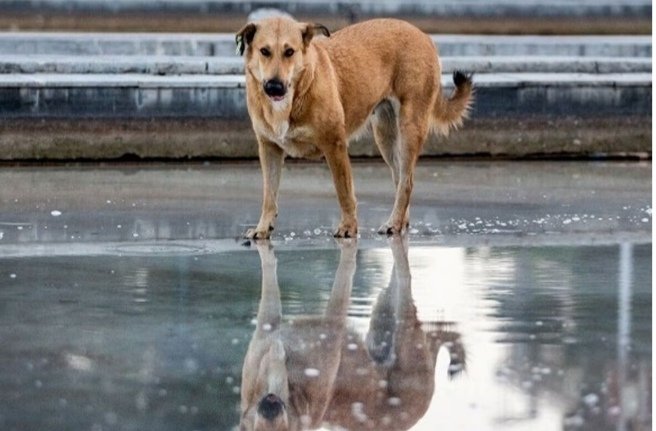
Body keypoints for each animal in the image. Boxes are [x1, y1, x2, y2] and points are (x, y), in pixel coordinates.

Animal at [236, 16, 472, 240]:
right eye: (264, 51)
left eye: (289, 52)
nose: (274, 87)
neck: (296, 92)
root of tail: (423, 35)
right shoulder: (269, 149)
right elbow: (269, 195)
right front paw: (263, 228)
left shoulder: (335, 146)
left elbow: (344, 192)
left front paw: (349, 227)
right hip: (385, 136)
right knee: (400, 179)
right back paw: (399, 223)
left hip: (409, 128)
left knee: (407, 182)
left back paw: (394, 223)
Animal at [238, 238, 464, 430]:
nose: (271, 407)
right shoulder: (268, 324)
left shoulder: (333, 325)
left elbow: (345, 268)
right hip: (386, 313)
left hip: (404, 324)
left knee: (407, 279)